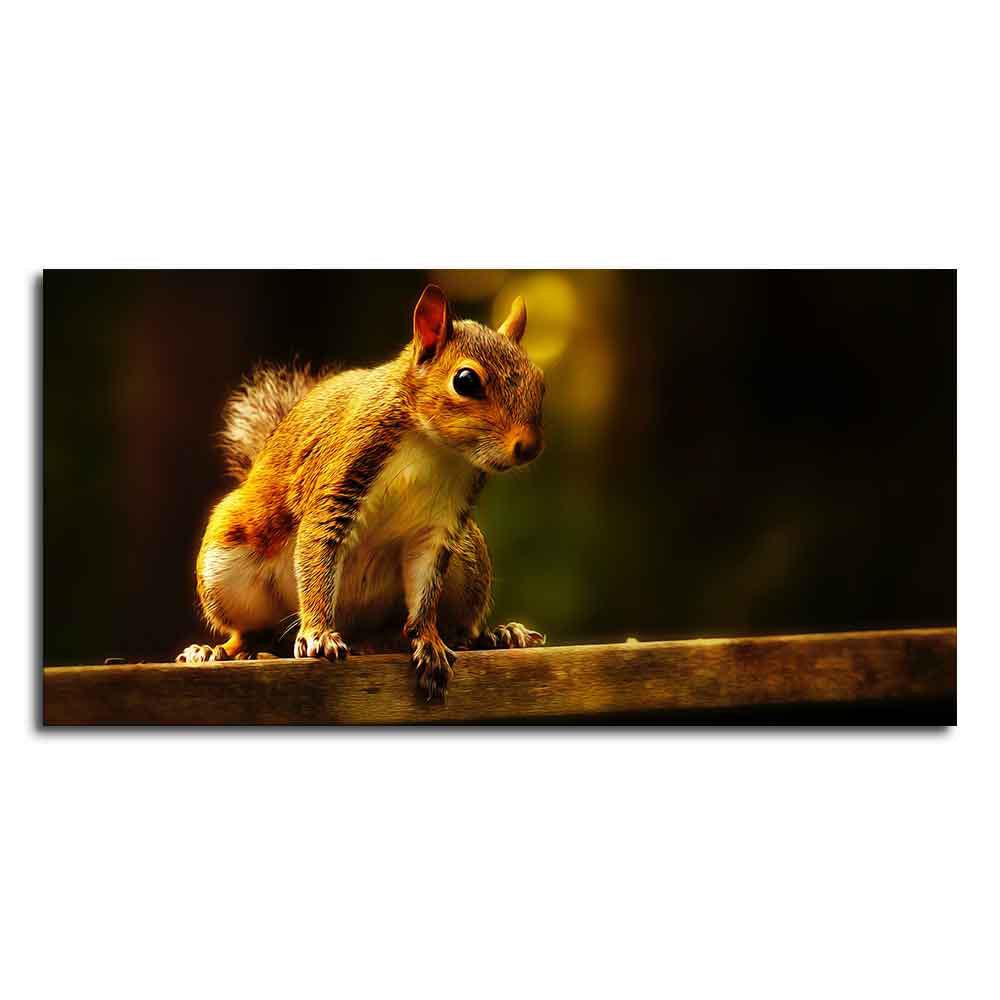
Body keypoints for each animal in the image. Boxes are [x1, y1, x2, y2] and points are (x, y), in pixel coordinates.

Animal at [177, 284, 546, 697]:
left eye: (540, 382)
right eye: (465, 381)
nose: (528, 447)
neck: (433, 446)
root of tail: (361, 635)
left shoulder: (439, 525)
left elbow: (425, 590)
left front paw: (429, 641)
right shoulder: (343, 474)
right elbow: (319, 549)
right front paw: (318, 634)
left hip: (468, 559)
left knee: (454, 625)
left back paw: (495, 636)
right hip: (225, 565)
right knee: (249, 633)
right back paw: (213, 651)